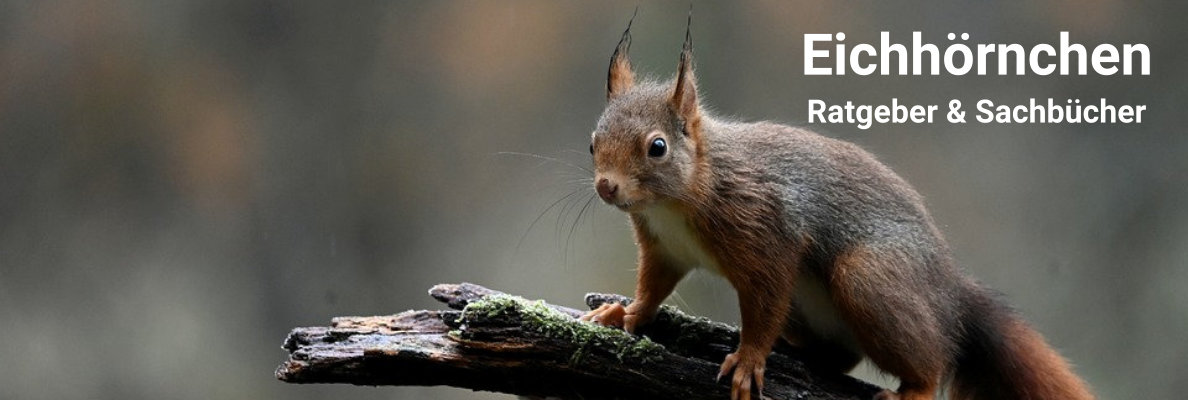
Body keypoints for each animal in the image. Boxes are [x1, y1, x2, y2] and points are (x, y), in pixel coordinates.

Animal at [578, 13, 1094, 400]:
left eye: (658, 147)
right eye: (592, 142)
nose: (607, 187)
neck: (678, 200)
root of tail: (949, 295)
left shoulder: (767, 232)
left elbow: (763, 304)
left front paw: (749, 359)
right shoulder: (664, 247)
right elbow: (653, 287)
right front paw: (623, 313)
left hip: (870, 280)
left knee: (930, 359)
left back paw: (915, 388)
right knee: (843, 355)